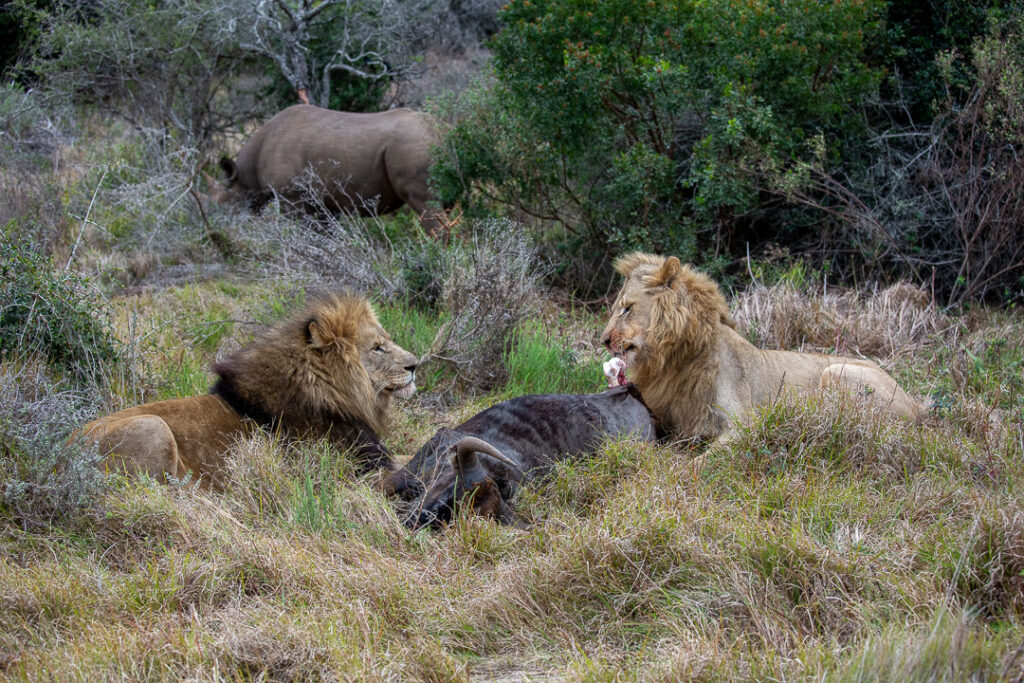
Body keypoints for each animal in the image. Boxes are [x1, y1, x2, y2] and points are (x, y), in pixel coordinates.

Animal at [600, 253, 928, 441]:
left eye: (626, 309)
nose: (603, 340)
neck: (672, 359)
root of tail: (918, 405)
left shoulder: (742, 424)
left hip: (834, 372)